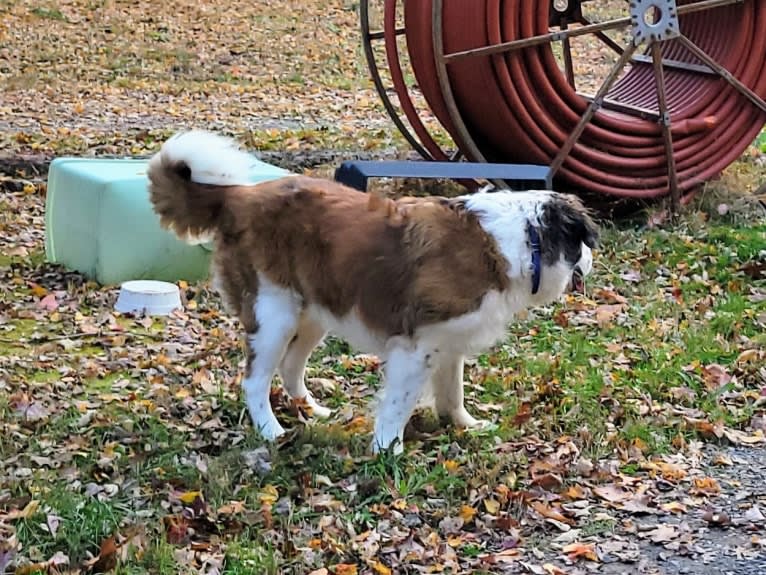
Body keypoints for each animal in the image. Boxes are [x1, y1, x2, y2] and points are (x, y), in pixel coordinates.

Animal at [146, 130, 600, 454]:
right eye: (584, 242)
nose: (594, 259)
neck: (523, 240)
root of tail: (239, 195)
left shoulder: (449, 342)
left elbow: (452, 392)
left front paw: (464, 426)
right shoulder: (416, 347)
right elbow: (399, 402)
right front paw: (388, 450)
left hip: (313, 313)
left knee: (291, 367)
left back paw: (312, 411)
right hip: (275, 314)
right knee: (255, 380)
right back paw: (271, 431)